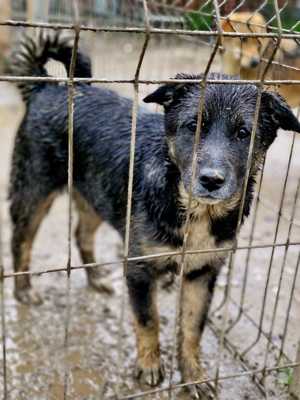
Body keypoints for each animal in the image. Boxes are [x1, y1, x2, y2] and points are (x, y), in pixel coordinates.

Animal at [9, 30, 300, 396]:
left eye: (243, 133)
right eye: (192, 126)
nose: (211, 180)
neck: (193, 210)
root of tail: (47, 87)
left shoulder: (202, 274)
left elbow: (192, 329)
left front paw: (193, 373)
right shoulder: (140, 268)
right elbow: (148, 320)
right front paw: (149, 364)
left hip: (97, 195)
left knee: (81, 234)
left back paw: (95, 279)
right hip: (34, 192)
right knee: (21, 240)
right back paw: (23, 289)